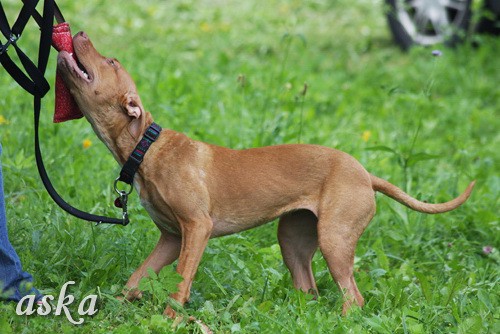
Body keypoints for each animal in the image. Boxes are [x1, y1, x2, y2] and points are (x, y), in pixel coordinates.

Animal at [56, 32, 474, 318]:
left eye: (111, 61)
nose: (79, 33)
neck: (147, 145)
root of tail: (366, 174)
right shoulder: (172, 238)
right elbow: (136, 279)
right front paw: (115, 309)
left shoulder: (197, 228)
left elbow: (180, 282)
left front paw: (170, 319)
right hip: (294, 240)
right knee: (310, 290)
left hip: (335, 239)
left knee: (353, 298)